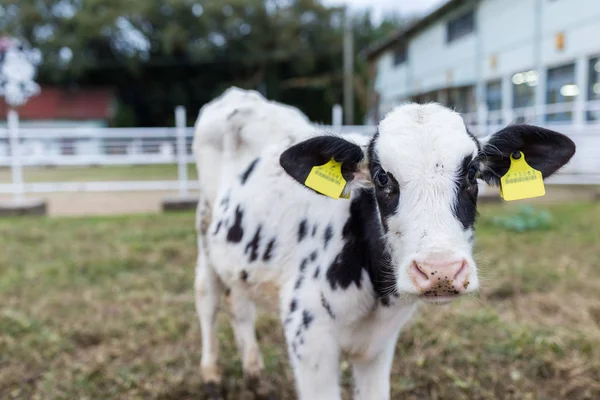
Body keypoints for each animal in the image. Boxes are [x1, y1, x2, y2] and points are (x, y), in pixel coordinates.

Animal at [193, 88, 576, 400]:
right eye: (381, 178)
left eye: (471, 173)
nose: (439, 271)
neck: (375, 294)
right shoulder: (309, 336)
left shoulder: (379, 346)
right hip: (205, 228)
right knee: (208, 299)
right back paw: (210, 375)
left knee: (241, 304)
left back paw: (254, 373)